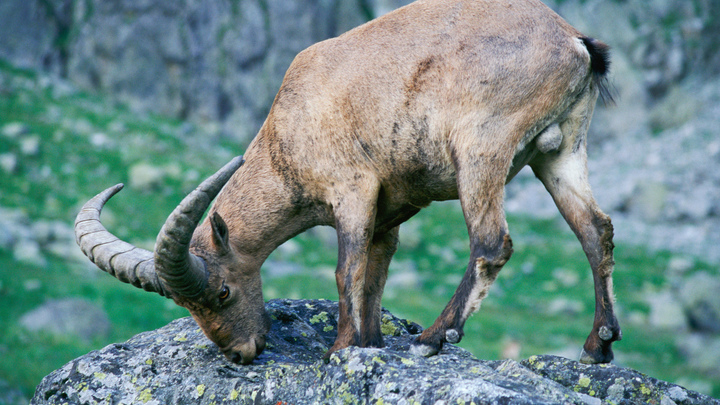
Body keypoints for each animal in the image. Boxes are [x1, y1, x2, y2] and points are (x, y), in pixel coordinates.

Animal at [76, 0, 620, 364]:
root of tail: (575, 43)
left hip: (481, 150)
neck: (289, 128)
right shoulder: (390, 210)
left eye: (223, 292)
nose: (239, 353)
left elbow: (347, 269)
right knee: (596, 231)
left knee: (492, 243)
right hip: (561, 153)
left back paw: (434, 338)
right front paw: (370, 344)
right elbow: (376, 272)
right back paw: (598, 345)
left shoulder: (353, 190)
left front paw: (337, 350)